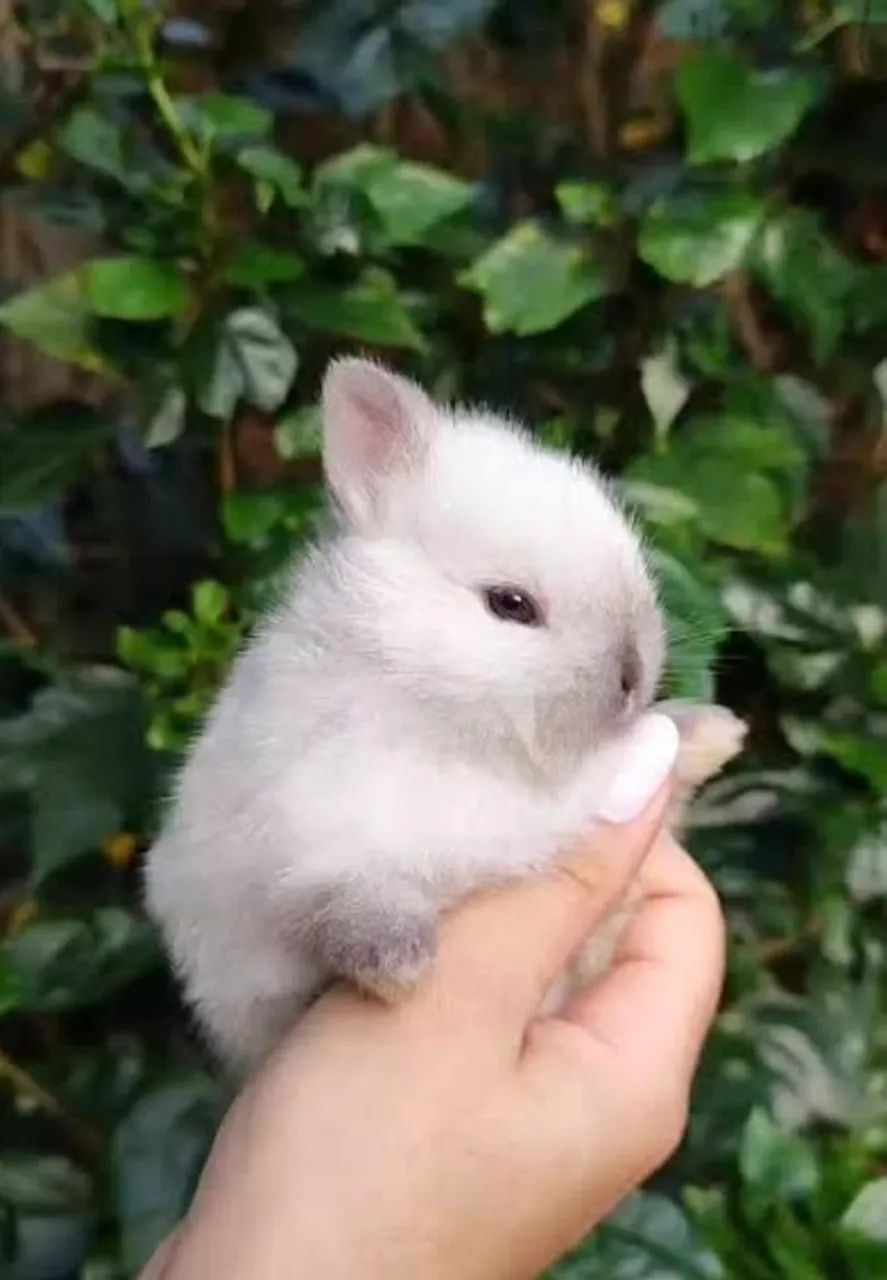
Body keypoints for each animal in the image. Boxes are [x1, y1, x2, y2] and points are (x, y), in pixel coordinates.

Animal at [144, 358, 745, 1076]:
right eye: (509, 604)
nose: (632, 678)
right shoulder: (310, 846)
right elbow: (337, 899)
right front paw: (397, 965)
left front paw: (712, 732)